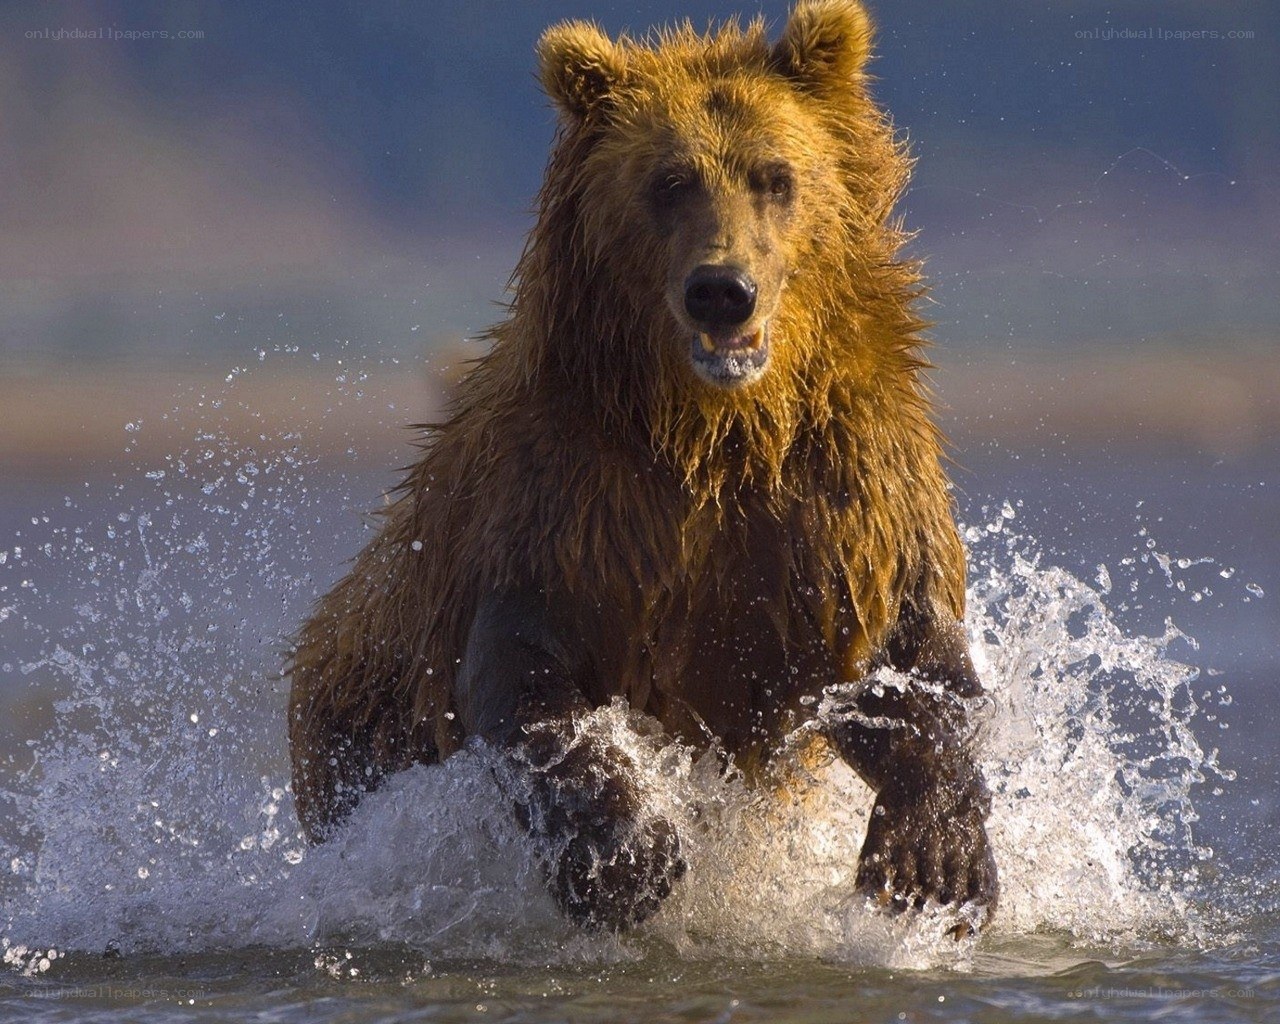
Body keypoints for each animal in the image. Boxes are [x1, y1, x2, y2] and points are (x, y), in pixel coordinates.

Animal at [288, 0, 998, 933]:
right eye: (668, 181)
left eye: (775, 175)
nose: (721, 289)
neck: (717, 430)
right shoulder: (568, 501)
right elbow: (524, 679)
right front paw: (628, 858)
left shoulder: (840, 488)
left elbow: (905, 661)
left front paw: (935, 863)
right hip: (357, 721)